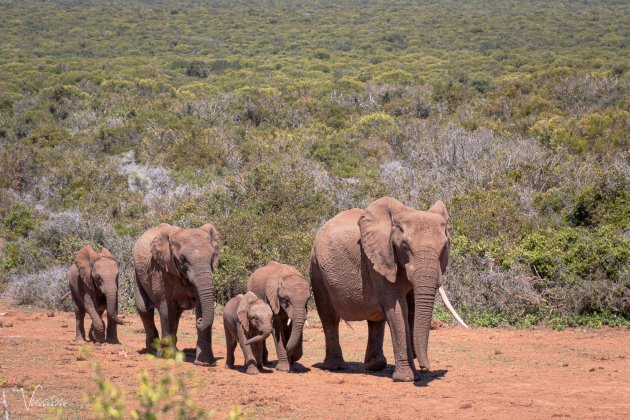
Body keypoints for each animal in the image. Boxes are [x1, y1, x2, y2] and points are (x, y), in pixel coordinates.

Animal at [133, 223, 220, 364]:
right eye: (182, 259)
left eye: (212, 256)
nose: (199, 321)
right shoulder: (161, 270)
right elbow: (165, 307)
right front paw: (166, 357)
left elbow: (200, 305)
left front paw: (204, 363)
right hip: (137, 271)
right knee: (144, 308)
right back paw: (153, 351)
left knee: (176, 314)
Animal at [312, 196, 470, 380]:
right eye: (405, 246)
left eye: (444, 247)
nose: (425, 368)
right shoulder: (378, 260)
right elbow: (398, 308)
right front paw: (407, 378)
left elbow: (412, 308)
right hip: (317, 268)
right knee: (329, 317)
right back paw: (335, 366)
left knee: (376, 319)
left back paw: (375, 365)